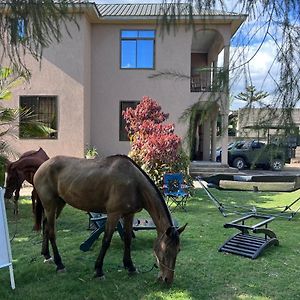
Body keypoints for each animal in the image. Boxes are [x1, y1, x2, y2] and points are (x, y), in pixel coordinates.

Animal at [34, 155, 186, 284]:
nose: (167, 279)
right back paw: (59, 264)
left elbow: (128, 239)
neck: (134, 183)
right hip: (50, 205)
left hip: (59, 204)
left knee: (46, 226)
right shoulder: (114, 214)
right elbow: (106, 241)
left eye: (178, 250)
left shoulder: (128, 214)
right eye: (165, 250)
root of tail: (42, 167)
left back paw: (46, 255)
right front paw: (99, 271)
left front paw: (130, 266)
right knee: (52, 232)